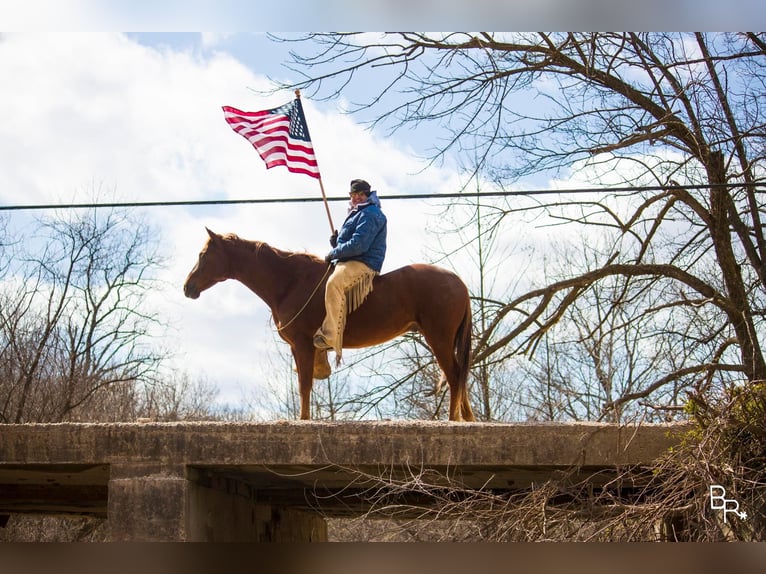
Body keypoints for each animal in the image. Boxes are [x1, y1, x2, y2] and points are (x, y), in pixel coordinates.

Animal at [183, 230, 476, 424]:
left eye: (203, 254)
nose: (187, 287)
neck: (288, 282)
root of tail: (459, 282)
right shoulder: (297, 348)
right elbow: (305, 382)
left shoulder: (303, 344)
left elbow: (304, 385)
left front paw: (303, 420)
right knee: (460, 375)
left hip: (439, 338)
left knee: (454, 374)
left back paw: (454, 420)